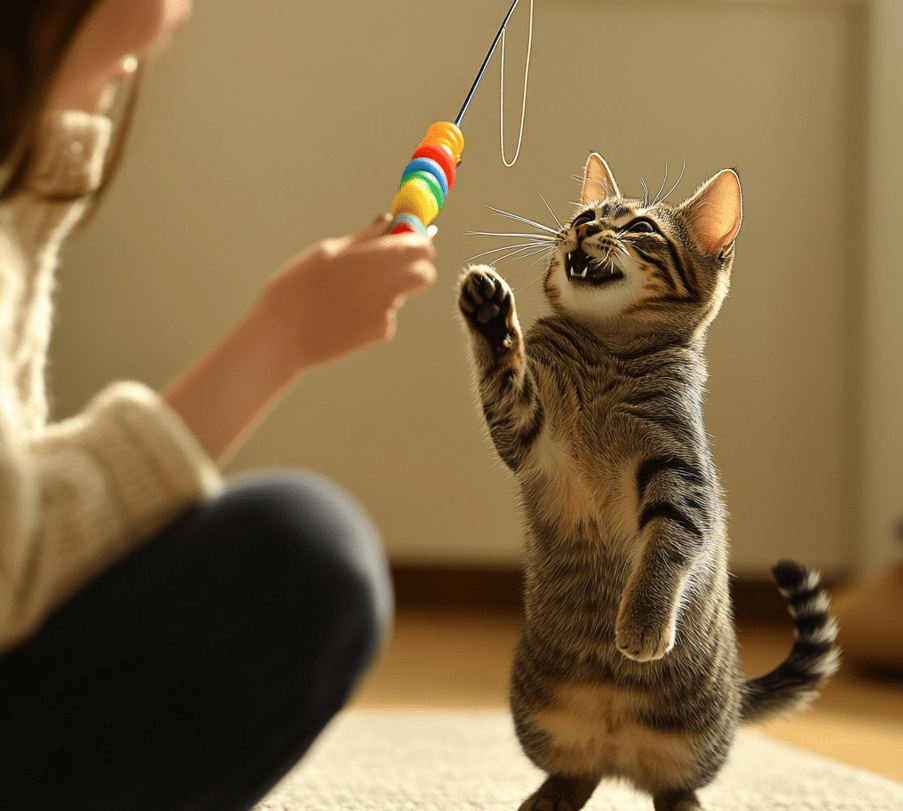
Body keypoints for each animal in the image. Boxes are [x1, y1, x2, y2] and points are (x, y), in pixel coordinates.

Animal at [460, 154, 840, 811]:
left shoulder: (682, 475)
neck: (607, 354)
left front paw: (641, 622)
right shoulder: (532, 440)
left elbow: (666, 546)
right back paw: (549, 797)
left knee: (675, 787)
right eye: (588, 213)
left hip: (694, 740)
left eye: (639, 228)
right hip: (541, 717)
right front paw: (489, 317)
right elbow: (505, 377)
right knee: (576, 774)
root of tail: (620, 749)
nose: (582, 229)